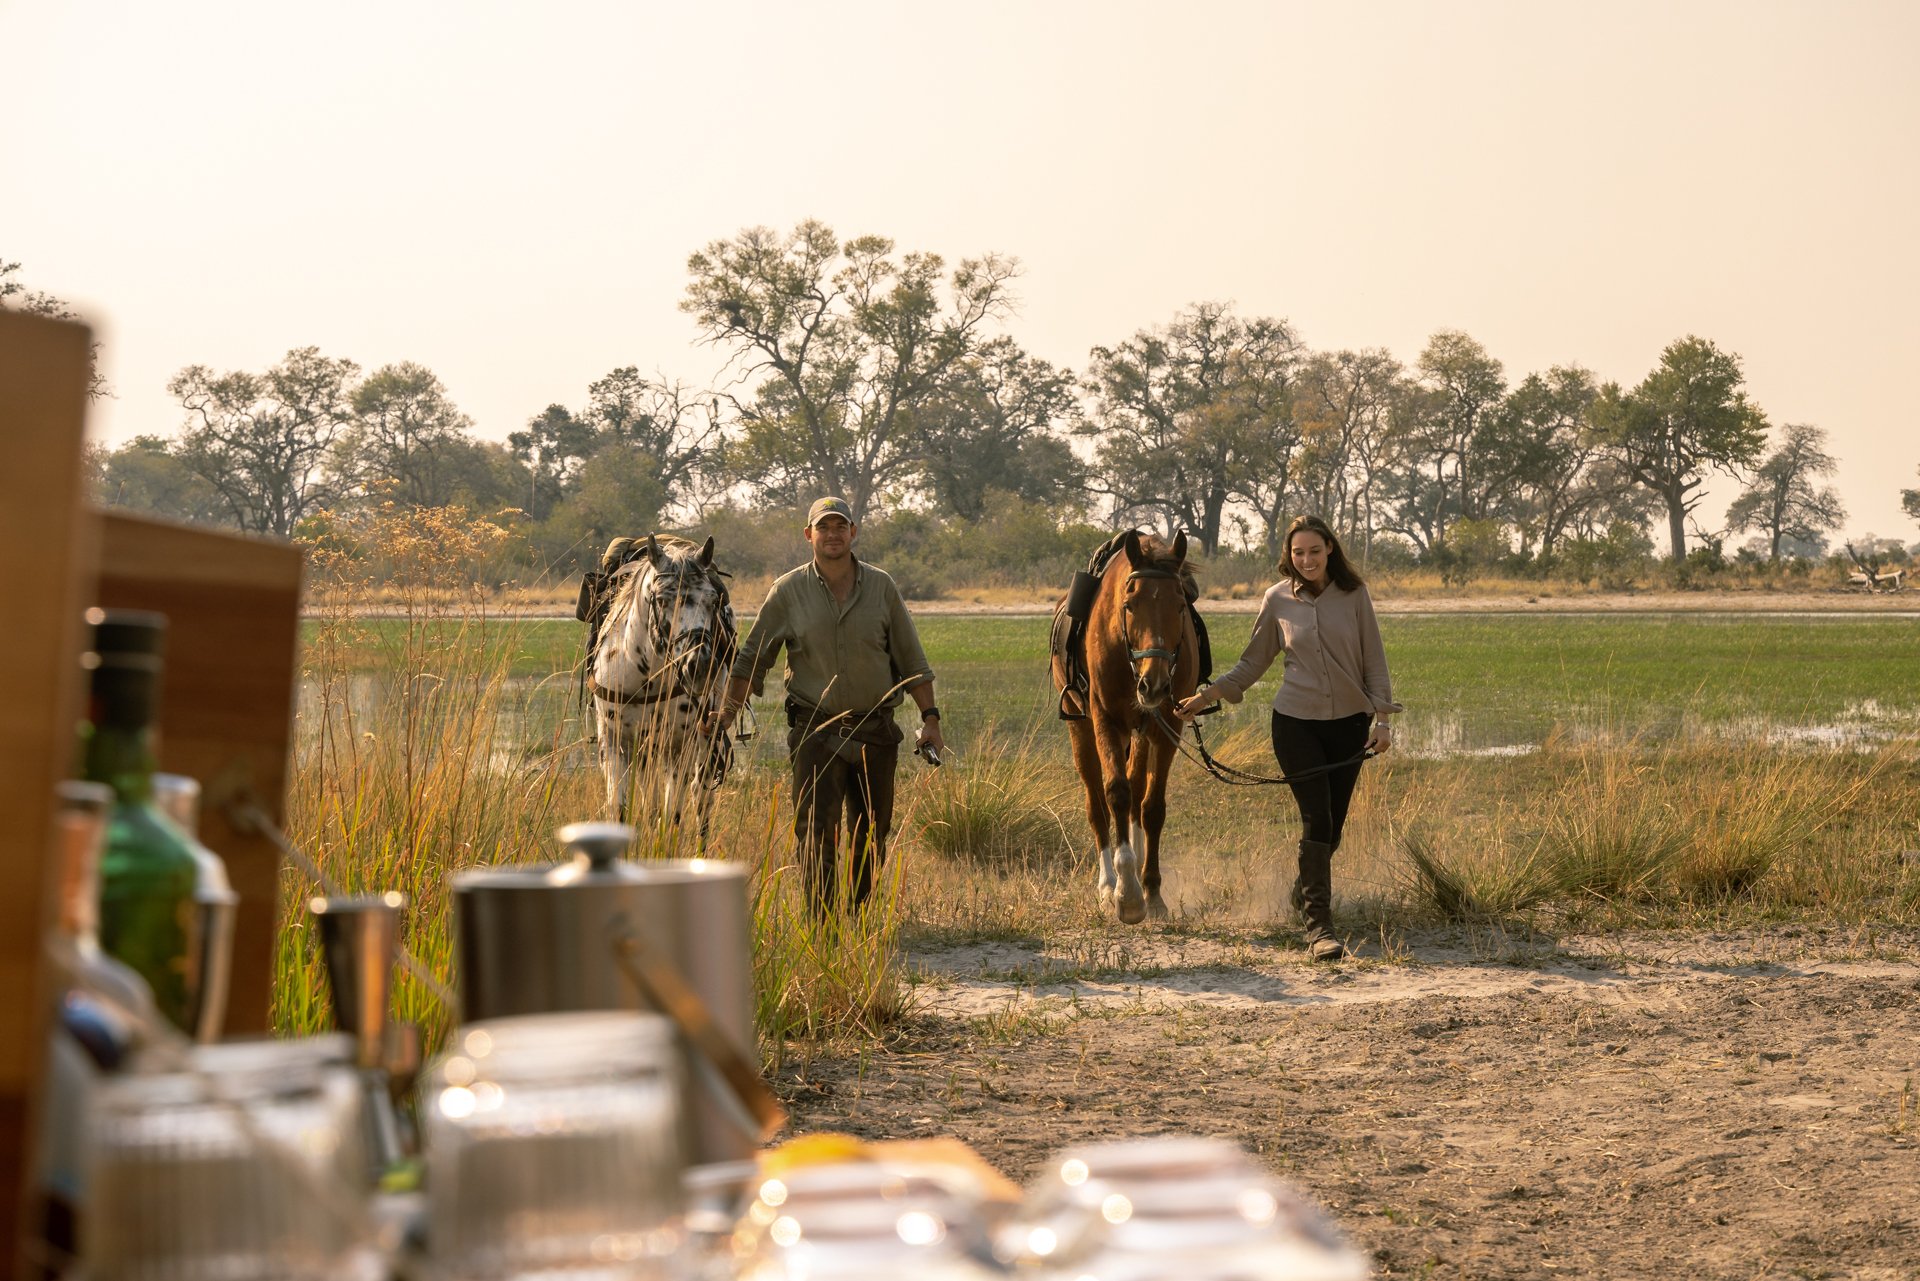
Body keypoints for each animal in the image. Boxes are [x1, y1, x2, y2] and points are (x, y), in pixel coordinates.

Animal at [588, 533, 736, 837]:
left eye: (713, 600)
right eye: (661, 599)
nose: (699, 667)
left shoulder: (680, 745)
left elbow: (672, 817)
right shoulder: (614, 742)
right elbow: (619, 810)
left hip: (707, 741)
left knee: (701, 797)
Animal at [1051, 529, 1199, 923]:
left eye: (1180, 604)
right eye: (1129, 605)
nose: (1155, 684)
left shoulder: (1166, 727)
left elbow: (1152, 806)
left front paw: (1152, 890)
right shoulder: (1107, 721)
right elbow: (1115, 793)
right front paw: (1127, 894)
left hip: (1144, 730)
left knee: (1137, 792)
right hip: (1081, 729)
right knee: (1096, 803)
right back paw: (1107, 885)